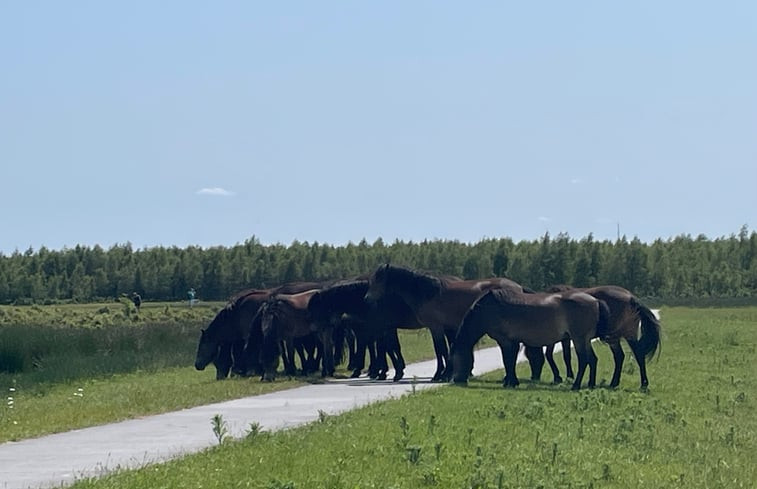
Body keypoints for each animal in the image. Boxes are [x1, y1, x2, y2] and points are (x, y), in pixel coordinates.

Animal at [364, 264, 528, 382]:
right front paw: (446, 373)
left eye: (378, 279)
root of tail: (518, 286)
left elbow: (440, 350)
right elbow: (444, 350)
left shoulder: (435, 327)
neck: (428, 293)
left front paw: (440, 375)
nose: (367, 298)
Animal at [452, 290, 612, 388]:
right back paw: (590, 384)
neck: (488, 309)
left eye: (455, 359)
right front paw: (512, 381)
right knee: (592, 360)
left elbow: (507, 361)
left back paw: (576, 386)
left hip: (579, 339)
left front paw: (509, 382)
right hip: (585, 340)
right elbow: (511, 361)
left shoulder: (504, 341)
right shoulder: (513, 342)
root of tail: (595, 301)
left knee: (584, 360)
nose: (456, 380)